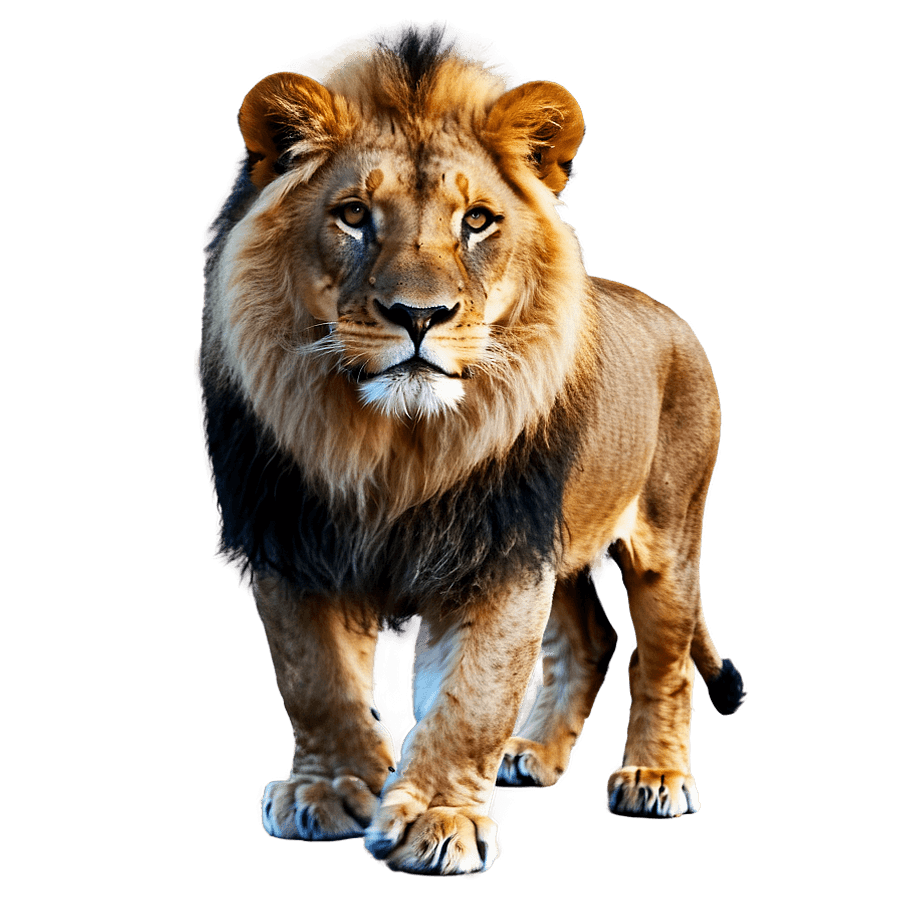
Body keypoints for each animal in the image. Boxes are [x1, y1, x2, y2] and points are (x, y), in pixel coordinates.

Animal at [198, 20, 747, 876]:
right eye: (353, 214)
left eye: (478, 221)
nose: (419, 315)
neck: (394, 446)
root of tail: (669, 314)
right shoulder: (287, 531)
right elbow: (313, 676)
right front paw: (332, 787)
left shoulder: (500, 546)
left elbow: (475, 696)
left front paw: (437, 818)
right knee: (593, 640)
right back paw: (536, 756)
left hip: (669, 534)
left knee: (662, 658)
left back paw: (654, 777)